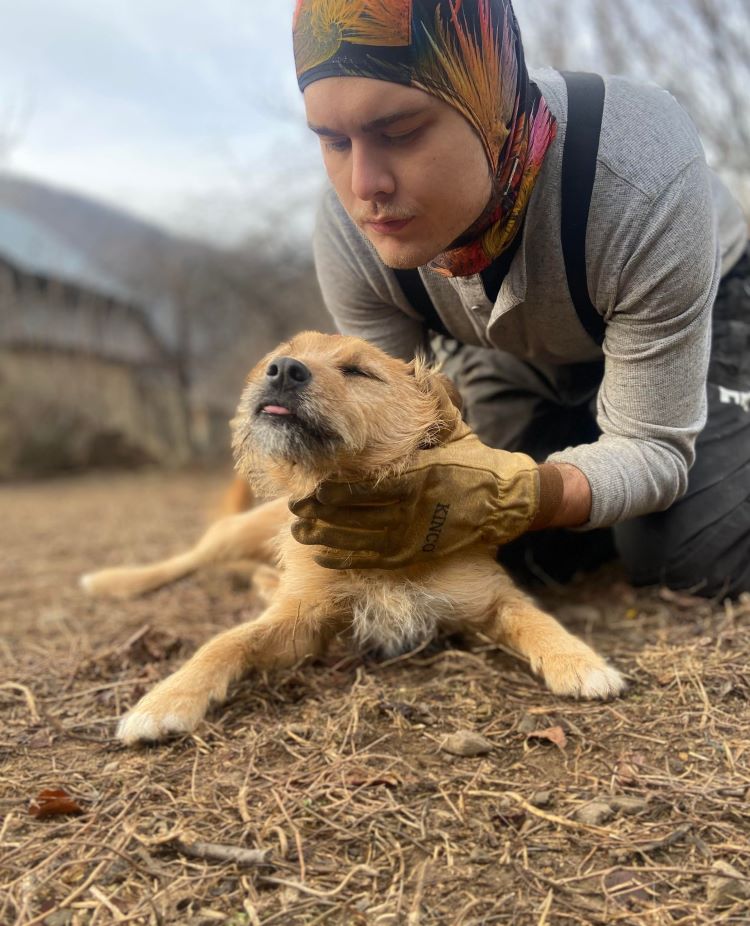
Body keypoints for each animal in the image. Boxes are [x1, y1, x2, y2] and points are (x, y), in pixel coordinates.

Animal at [82, 328, 624, 748]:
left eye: (359, 371)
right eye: (283, 353)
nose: (281, 369)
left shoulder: (487, 599)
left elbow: (535, 618)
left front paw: (579, 660)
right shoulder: (302, 624)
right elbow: (226, 641)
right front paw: (166, 698)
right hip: (235, 533)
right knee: (186, 560)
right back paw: (114, 580)